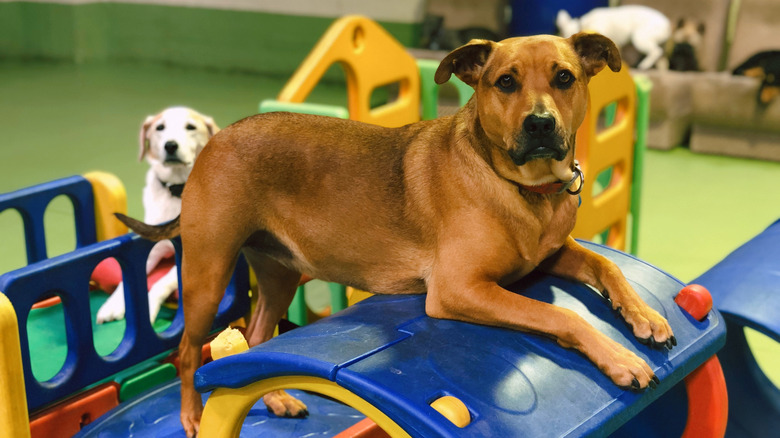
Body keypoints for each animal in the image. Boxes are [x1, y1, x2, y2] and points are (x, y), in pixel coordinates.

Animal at [97, 106, 221, 326]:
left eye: (191, 127)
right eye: (160, 127)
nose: (170, 145)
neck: (178, 190)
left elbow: (161, 283)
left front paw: (150, 308)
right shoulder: (151, 249)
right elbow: (126, 279)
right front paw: (112, 305)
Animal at [112, 32, 672, 436]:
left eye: (564, 77)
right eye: (505, 82)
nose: (540, 124)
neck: (523, 189)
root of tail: (217, 136)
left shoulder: (551, 255)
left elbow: (607, 264)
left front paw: (644, 316)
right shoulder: (459, 290)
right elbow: (560, 315)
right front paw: (620, 358)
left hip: (279, 277)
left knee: (255, 338)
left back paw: (276, 397)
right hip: (207, 275)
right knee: (189, 353)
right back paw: (191, 416)